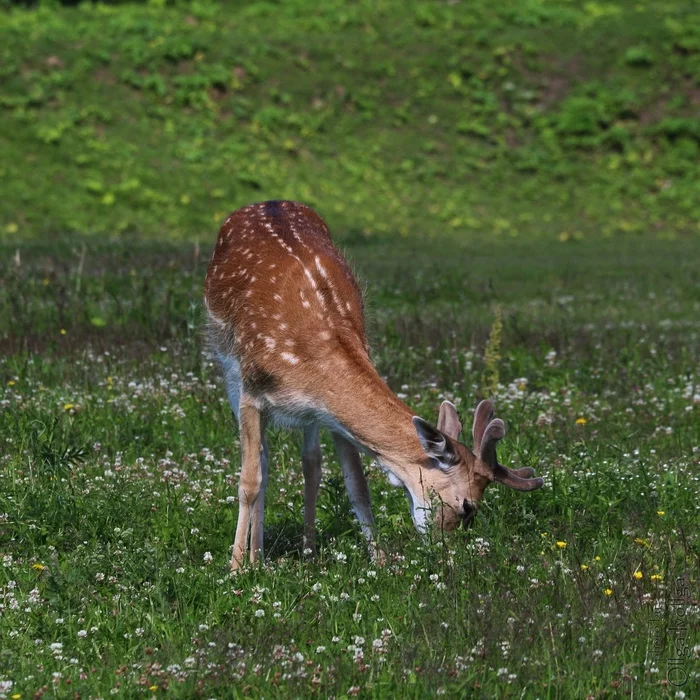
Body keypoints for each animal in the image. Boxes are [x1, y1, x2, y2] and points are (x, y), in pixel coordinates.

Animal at [205, 198, 544, 568]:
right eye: (467, 506)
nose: (445, 552)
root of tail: (267, 202)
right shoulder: (251, 392)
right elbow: (250, 481)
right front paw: (236, 567)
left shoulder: (330, 412)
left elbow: (357, 484)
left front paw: (379, 560)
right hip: (229, 368)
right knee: (263, 462)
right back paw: (257, 556)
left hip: (311, 416)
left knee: (311, 463)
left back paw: (307, 550)